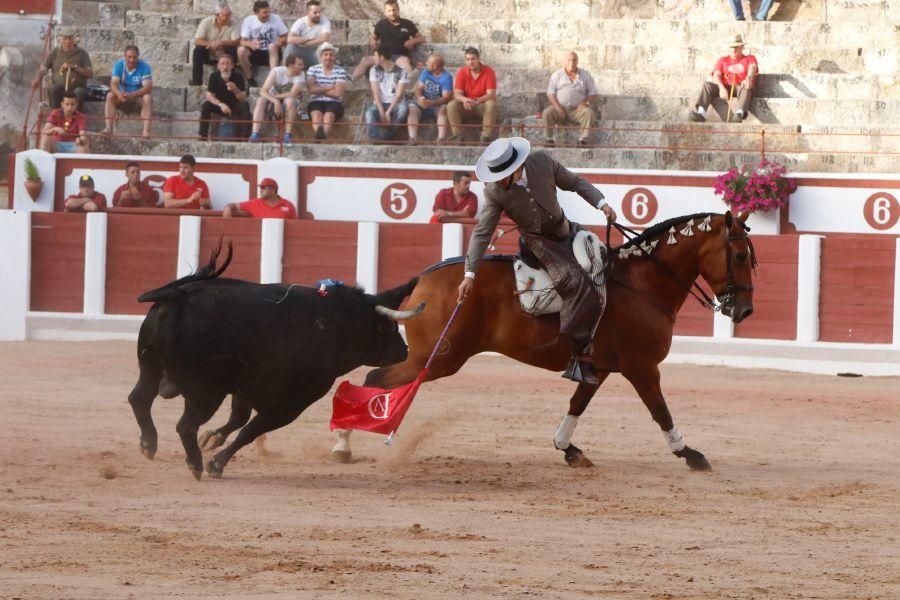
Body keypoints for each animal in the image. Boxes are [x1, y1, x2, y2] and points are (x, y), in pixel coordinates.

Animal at [127, 246, 426, 480]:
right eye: (389, 327)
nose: (404, 350)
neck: (335, 322)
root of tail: (178, 296)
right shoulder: (290, 404)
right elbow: (250, 429)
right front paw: (216, 463)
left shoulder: (246, 387)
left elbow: (239, 419)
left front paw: (212, 439)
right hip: (206, 392)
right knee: (185, 425)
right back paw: (195, 464)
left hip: (150, 367)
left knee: (139, 398)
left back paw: (149, 444)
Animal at [330, 213, 752, 472]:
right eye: (739, 255)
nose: (744, 309)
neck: (642, 283)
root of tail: (424, 278)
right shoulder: (642, 368)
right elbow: (660, 411)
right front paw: (691, 454)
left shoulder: (599, 368)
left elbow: (576, 405)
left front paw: (568, 450)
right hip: (434, 361)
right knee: (374, 379)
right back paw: (342, 443)